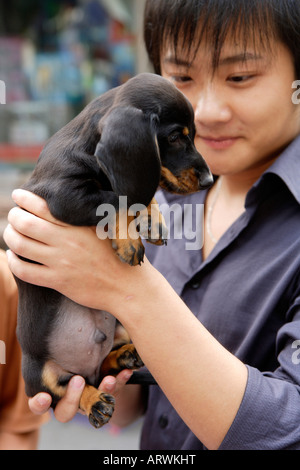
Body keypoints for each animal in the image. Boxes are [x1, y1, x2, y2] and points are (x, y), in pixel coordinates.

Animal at [15, 71, 213, 428]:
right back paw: (94, 401)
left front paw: (151, 219)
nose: (208, 180)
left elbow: (134, 192)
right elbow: (114, 199)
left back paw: (123, 356)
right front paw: (130, 238)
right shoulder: (64, 196)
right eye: (175, 137)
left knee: (100, 369)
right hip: (38, 377)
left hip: (121, 327)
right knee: (68, 389)